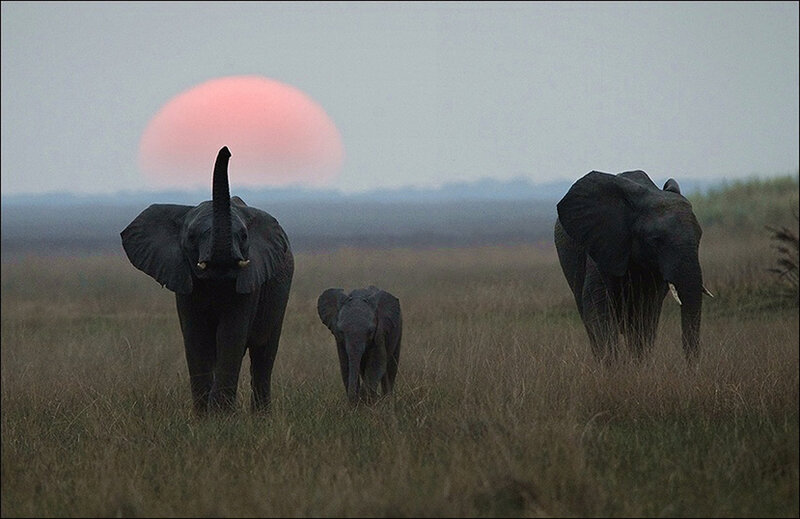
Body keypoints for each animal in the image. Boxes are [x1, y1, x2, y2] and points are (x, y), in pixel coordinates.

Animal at [121, 146, 294, 415]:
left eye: (244, 236)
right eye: (192, 236)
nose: (227, 150)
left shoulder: (250, 283)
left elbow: (230, 335)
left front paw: (220, 415)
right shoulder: (184, 281)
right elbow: (197, 337)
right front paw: (205, 416)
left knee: (263, 355)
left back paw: (261, 417)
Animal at [554, 170, 713, 363]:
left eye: (700, 237)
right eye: (655, 240)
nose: (692, 367)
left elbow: (646, 315)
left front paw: (637, 366)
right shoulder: (603, 243)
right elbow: (598, 309)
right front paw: (614, 367)